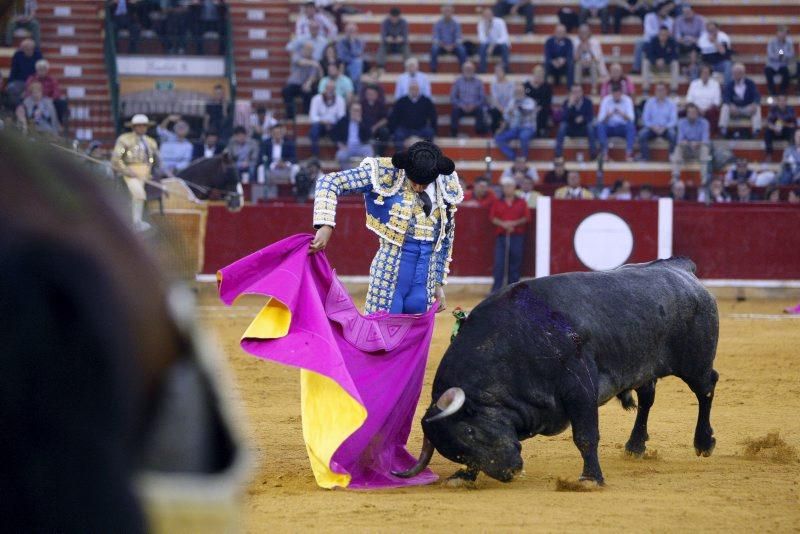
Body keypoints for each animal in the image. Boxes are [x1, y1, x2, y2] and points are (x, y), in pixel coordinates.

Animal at [396, 258, 720, 488]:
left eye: (469, 430)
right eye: (454, 451)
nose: (509, 471)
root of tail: (679, 267)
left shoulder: (579, 389)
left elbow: (586, 435)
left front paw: (590, 479)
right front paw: (464, 476)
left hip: (695, 362)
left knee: (706, 387)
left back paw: (704, 443)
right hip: (643, 365)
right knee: (647, 397)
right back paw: (635, 446)